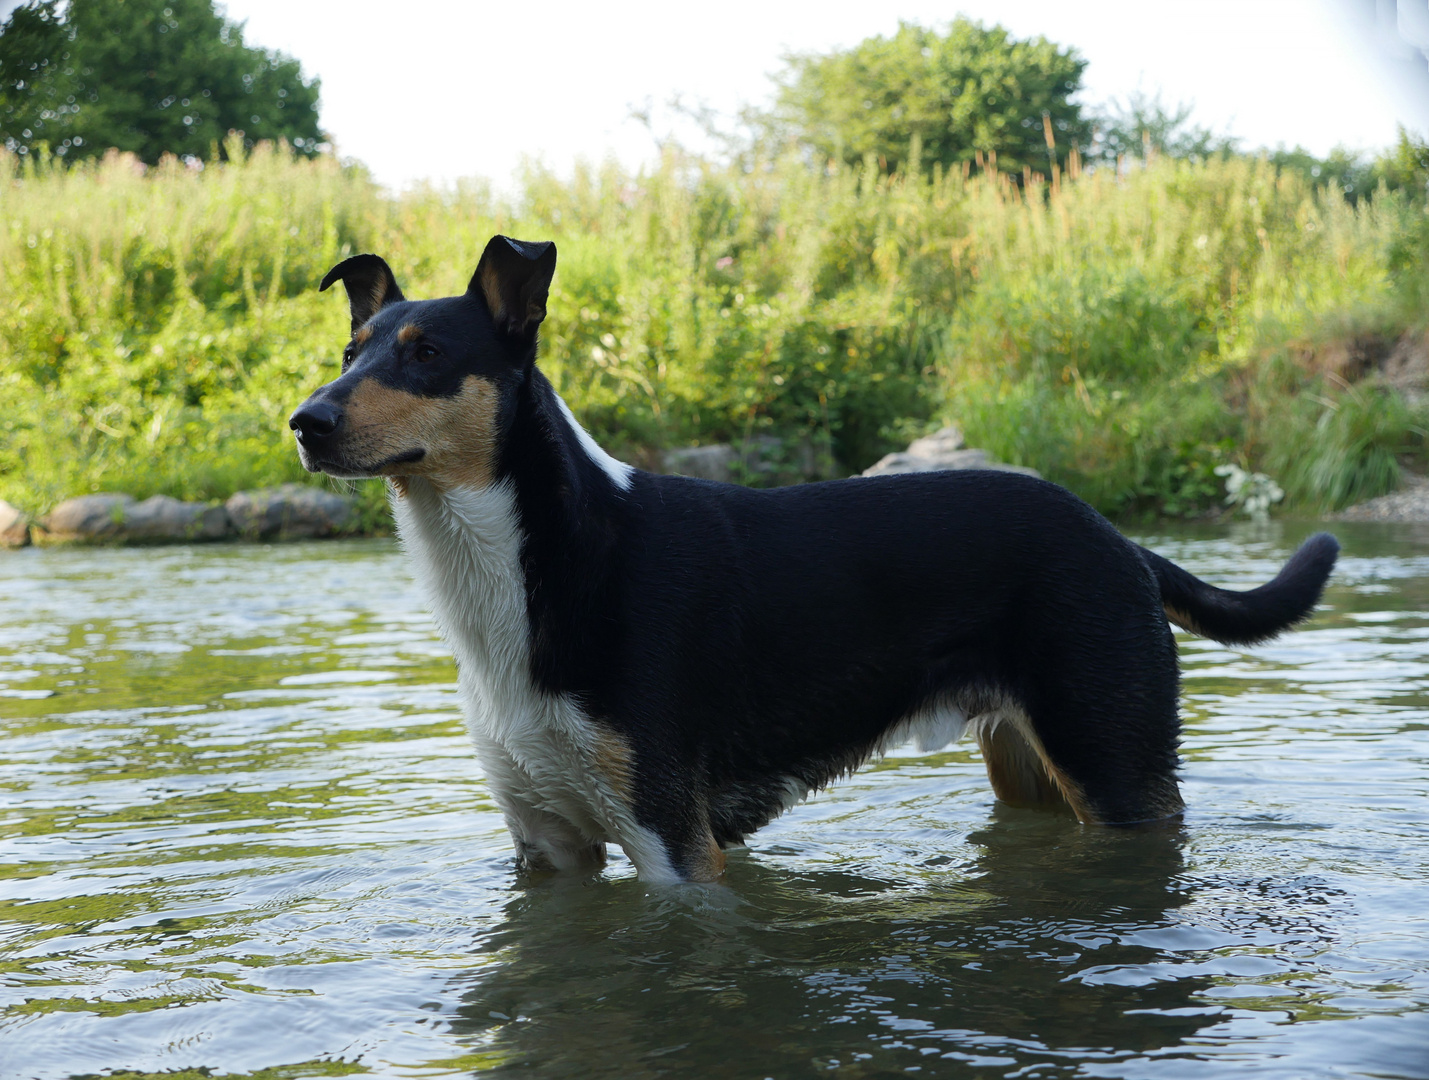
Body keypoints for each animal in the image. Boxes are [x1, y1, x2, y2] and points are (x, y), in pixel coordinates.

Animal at [287, 234, 1337, 880]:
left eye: (426, 353)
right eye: (350, 350)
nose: (305, 422)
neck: (524, 575)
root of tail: (1118, 538)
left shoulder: (674, 846)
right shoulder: (547, 846)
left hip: (1117, 775)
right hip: (1032, 769)